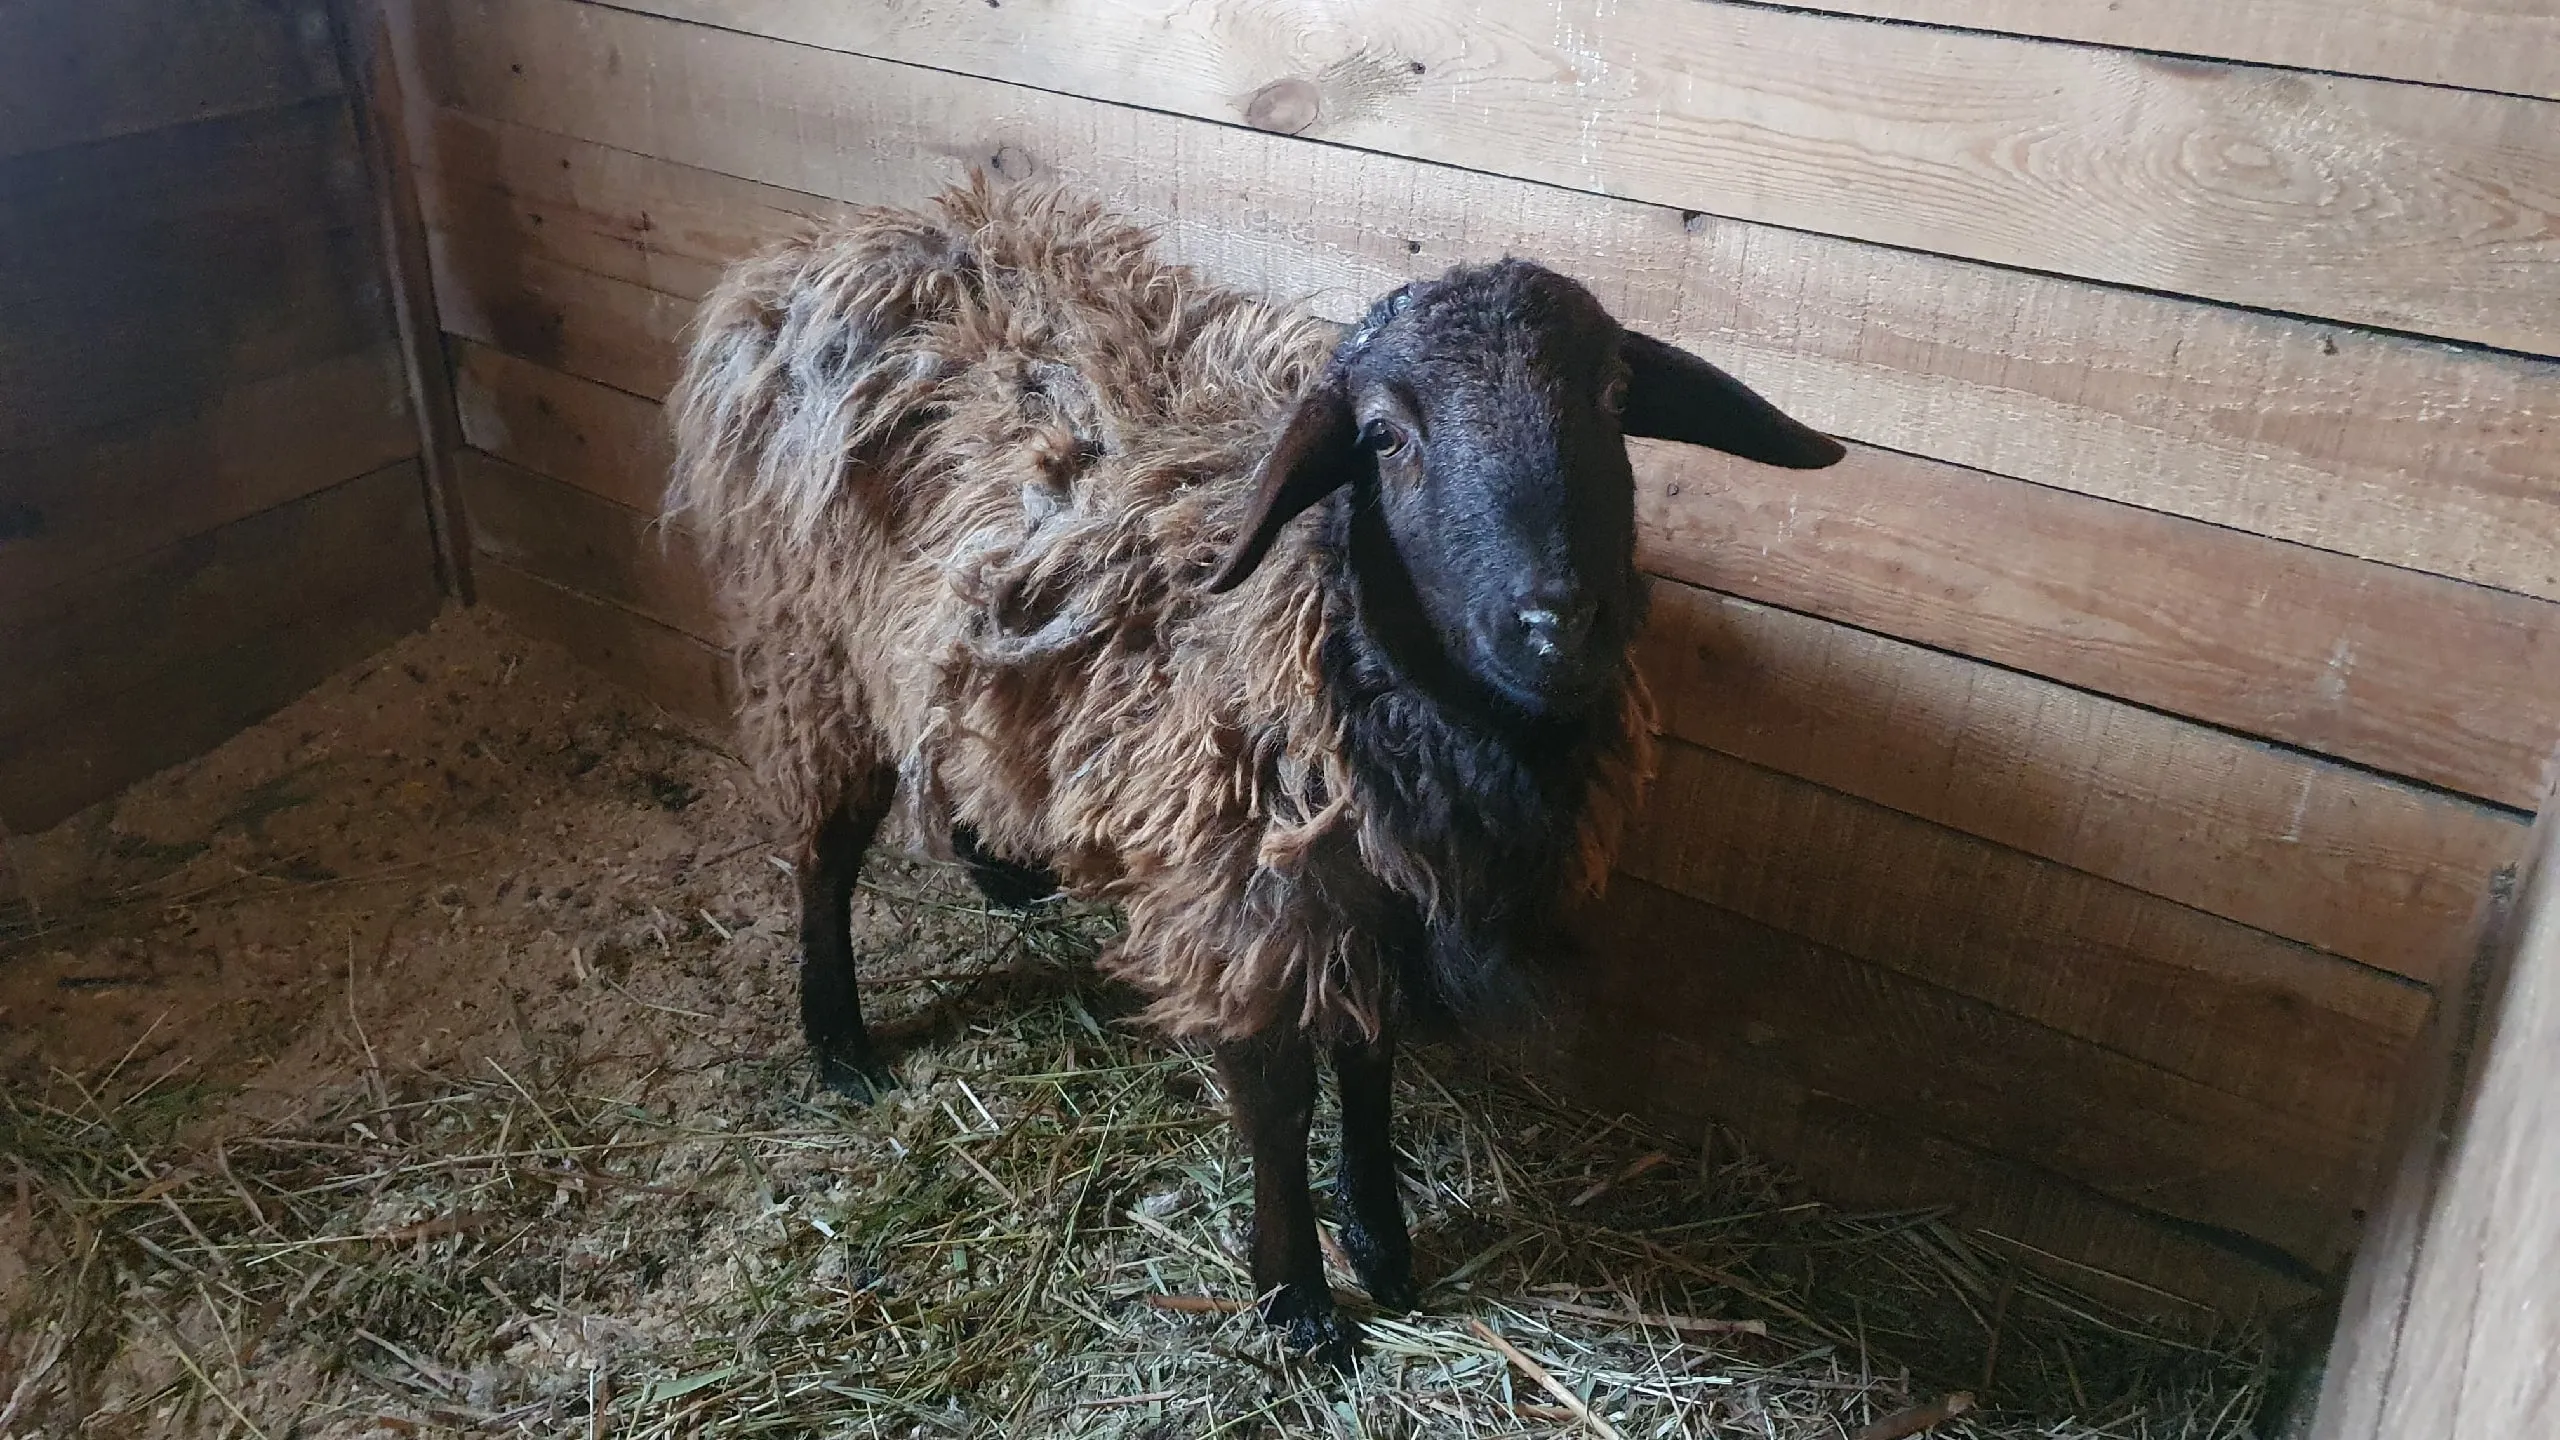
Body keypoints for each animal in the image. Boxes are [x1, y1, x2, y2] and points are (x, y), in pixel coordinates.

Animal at [670, 174, 1853, 1363]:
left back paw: (1003, 873)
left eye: (1613, 396)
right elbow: (1278, 1099)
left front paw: (1379, 1239)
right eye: (1384, 436)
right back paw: (838, 1040)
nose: (1557, 625)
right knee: (824, 851)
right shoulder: (1240, 890)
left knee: (949, 733)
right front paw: (1297, 1299)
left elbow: (1370, 1063)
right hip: (813, 645)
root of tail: (816, 251)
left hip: (933, 649)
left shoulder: (1375, 894)